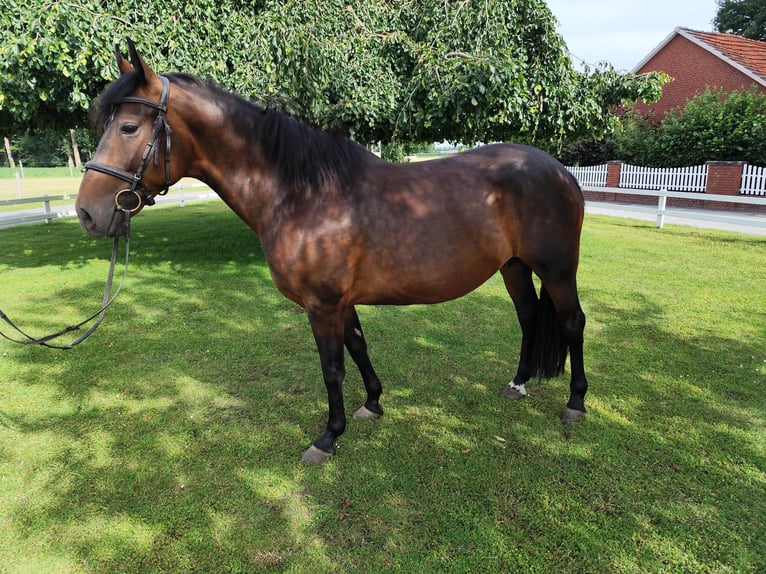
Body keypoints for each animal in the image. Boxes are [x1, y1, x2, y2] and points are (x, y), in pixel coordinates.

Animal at [78, 40, 592, 464]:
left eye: (128, 127)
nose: (88, 213)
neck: (304, 195)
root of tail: (560, 171)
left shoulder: (321, 304)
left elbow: (331, 369)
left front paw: (328, 437)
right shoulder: (341, 302)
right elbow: (359, 347)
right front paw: (373, 404)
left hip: (557, 270)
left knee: (572, 323)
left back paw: (575, 403)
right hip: (514, 267)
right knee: (529, 317)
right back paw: (518, 384)